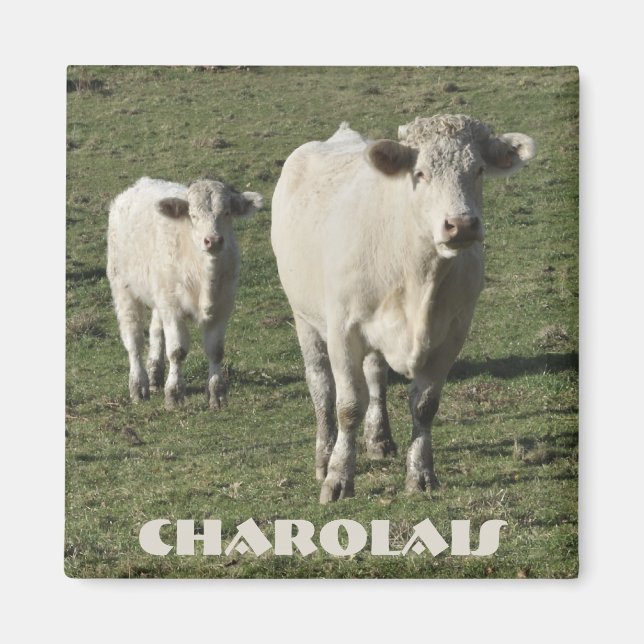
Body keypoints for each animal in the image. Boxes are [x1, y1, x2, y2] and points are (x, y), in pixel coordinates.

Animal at [107, 177, 263, 409]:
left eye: (226, 212)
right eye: (193, 215)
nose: (213, 240)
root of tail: (141, 183)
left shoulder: (223, 307)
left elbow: (216, 351)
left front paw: (217, 394)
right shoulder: (173, 309)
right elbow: (177, 352)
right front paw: (174, 395)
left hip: (160, 293)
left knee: (155, 331)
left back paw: (154, 375)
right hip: (123, 288)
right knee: (134, 340)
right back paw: (139, 386)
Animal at [271, 115, 536, 503]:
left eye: (478, 170)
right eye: (421, 173)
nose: (461, 224)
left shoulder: (453, 333)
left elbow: (424, 406)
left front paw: (421, 474)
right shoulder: (343, 331)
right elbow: (348, 406)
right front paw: (338, 476)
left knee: (376, 377)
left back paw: (379, 439)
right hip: (304, 316)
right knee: (320, 385)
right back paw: (324, 454)